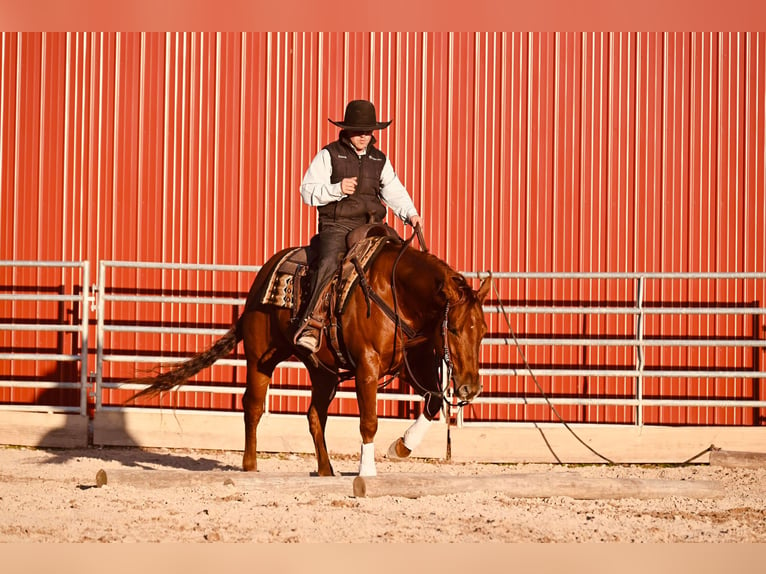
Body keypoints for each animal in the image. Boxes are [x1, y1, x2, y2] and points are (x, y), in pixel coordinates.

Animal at [129, 236, 492, 480]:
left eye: (484, 330)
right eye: (454, 329)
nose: (470, 388)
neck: (394, 294)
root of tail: (262, 277)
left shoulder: (408, 364)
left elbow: (433, 401)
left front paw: (400, 447)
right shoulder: (367, 367)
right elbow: (369, 420)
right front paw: (367, 471)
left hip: (324, 371)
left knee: (315, 415)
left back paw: (326, 470)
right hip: (260, 357)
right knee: (253, 406)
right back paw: (250, 466)